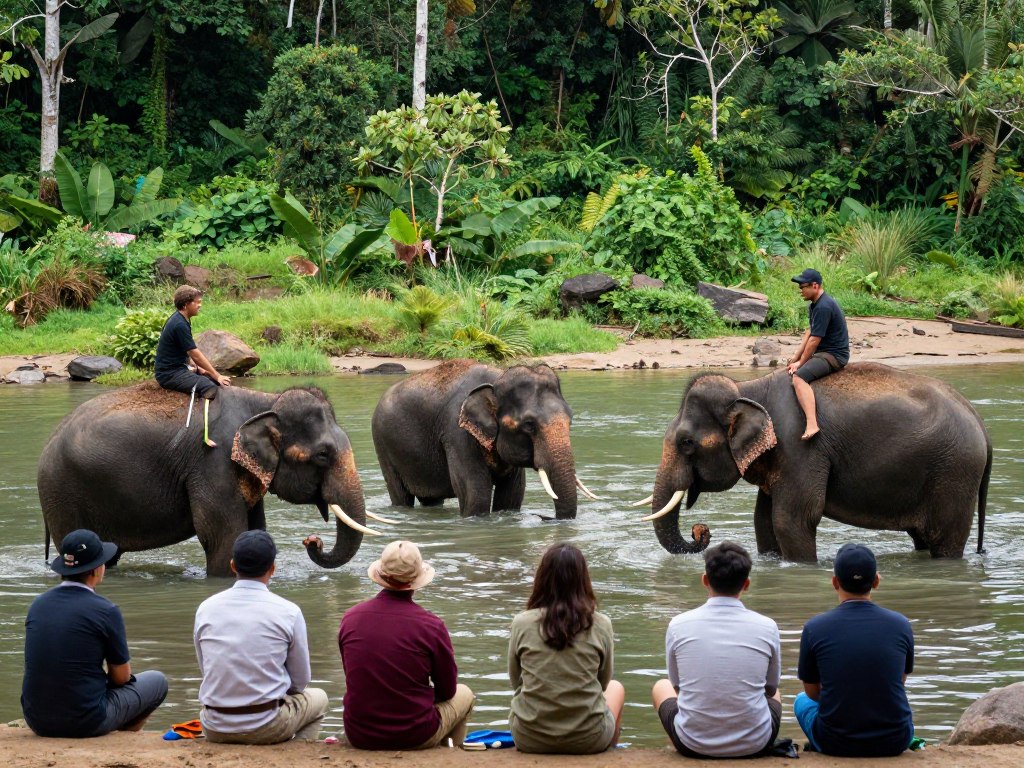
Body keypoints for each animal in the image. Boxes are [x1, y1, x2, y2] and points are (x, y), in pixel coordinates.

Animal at [38, 382, 379, 577]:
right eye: (322, 455)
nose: (312, 541)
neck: (265, 401)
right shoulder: (213, 461)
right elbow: (222, 536)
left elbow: (254, 530)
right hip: (63, 495)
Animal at [371, 359, 598, 519]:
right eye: (529, 425)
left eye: (570, 419)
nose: (545, 517)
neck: (497, 378)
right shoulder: (456, 433)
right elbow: (476, 495)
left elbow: (511, 498)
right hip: (383, 444)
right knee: (400, 495)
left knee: (431, 499)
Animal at [637, 363, 992, 561]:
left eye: (686, 443)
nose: (701, 532)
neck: (749, 388)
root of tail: (980, 423)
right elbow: (763, 521)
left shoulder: (801, 448)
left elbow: (792, 519)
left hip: (954, 473)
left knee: (944, 540)